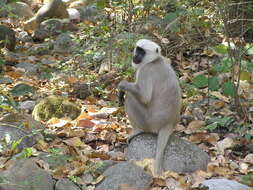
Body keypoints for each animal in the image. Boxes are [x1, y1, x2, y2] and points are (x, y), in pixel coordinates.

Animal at [117, 39, 181, 175]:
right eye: (138, 49)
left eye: (142, 52)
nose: (136, 56)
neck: (155, 60)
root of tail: (168, 123)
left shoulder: (146, 70)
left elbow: (145, 97)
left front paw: (122, 85)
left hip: (149, 123)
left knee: (130, 98)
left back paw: (137, 130)